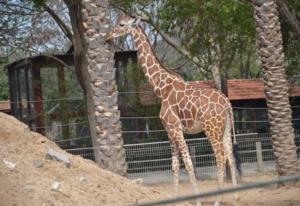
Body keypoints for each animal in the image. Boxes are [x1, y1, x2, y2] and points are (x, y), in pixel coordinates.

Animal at [106, 16, 238, 206]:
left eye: (122, 24)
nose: (108, 35)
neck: (162, 89)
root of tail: (227, 103)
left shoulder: (175, 127)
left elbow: (188, 163)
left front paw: (198, 200)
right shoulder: (169, 130)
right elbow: (174, 165)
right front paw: (176, 198)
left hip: (211, 129)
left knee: (220, 157)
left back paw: (217, 201)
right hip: (225, 128)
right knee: (230, 155)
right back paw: (235, 197)